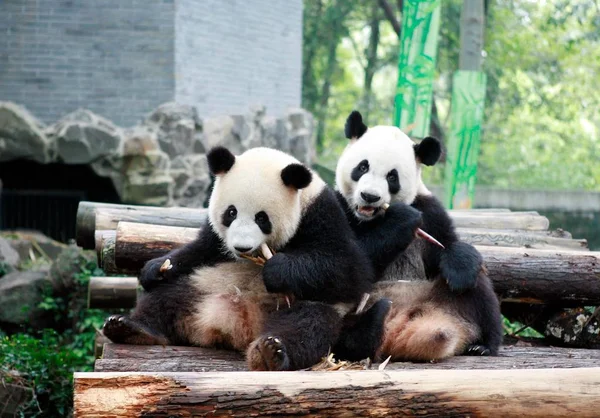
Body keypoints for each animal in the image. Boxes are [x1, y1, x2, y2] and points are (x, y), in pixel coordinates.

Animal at [101, 145, 390, 370]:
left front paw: (277, 270)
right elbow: (199, 250)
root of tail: (239, 327)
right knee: (168, 297)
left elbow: (348, 270)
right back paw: (132, 328)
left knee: (309, 323)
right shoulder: (215, 239)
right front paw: (155, 268)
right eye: (231, 212)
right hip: (204, 283)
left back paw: (271, 353)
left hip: (303, 308)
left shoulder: (323, 214)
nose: (241, 247)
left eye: (262, 218)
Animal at [330, 111, 504, 362]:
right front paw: (402, 220)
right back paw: (365, 332)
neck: (371, 218)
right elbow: (343, 261)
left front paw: (458, 268)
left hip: (442, 294)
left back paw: (482, 345)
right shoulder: (339, 207)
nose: (370, 196)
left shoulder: (428, 210)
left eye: (392, 177)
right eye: (362, 167)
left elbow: (448, 244)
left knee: (482, 295)